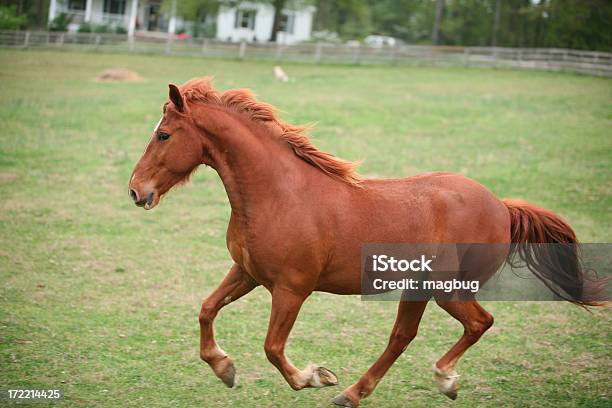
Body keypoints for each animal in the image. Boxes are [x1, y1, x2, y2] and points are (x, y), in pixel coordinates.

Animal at [126, 78, 600, 406]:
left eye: (164, 135)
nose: (135, 191)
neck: (279, 193)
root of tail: (501, 206)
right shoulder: (248, 272)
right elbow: (206, 309)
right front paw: (224, 368)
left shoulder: (292, 289)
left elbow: (273, 348)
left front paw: (314, 377)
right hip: (418, 288)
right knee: (403, 337)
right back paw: (355, 393)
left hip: (447, 289)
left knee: (478, 323)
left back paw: (442, 378)